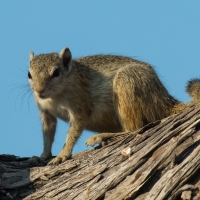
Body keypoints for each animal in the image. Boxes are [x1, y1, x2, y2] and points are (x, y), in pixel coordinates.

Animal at [28, 47, 200, 165]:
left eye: (56, 72)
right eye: (29, 74)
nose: (39, 90)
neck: (54, 96)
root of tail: (163, 100)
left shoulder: (79, 102)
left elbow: (75, 128)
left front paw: (63, 154)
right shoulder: (45, 112)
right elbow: (48, 132)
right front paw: (43, 155)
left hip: (127, 82)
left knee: (134, 128)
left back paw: (104, 135)